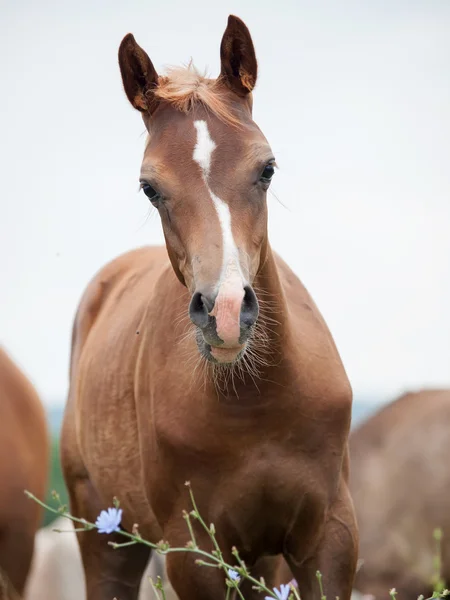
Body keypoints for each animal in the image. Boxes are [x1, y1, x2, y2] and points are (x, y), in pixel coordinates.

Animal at [61, 15, 358, 600]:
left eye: (267, 168)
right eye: (149, 187)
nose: (225, 312)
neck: (258, 406)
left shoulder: (330, 538)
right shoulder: (196, 556)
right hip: (107, 539)